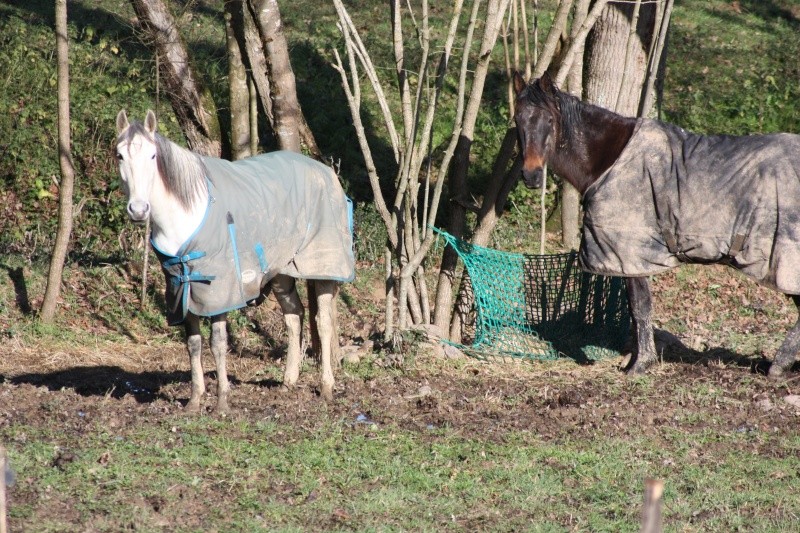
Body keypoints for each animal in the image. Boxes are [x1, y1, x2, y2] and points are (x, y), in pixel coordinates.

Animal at [115, 109, 354, 412]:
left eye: (153, 156)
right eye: (119, 155)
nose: (138, 209)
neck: (187, 213)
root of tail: (326, 172)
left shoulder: (219, 292)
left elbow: (218, 343)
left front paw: (222, 402)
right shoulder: (184, 288)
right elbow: (193, 344)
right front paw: (195, 400)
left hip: (322, 265)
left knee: (323, 322)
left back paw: (326, 387)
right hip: (280, 271)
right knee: (294, 316)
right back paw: (288, 381)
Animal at [512, 72, 800, 376]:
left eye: (549, 120)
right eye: (517, 119)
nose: (531, 175)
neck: (609, 160)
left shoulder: (629, 254)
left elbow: (640, 308)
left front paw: (640, 364)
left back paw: (778, 366)